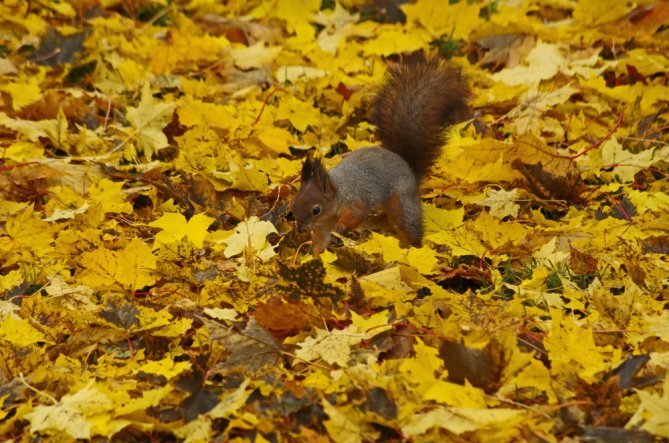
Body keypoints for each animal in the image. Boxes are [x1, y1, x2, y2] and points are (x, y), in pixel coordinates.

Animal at [292, 54, 470, 258]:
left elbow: (357, 215)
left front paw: (341, 227)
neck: (338, 191)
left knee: (410, 227)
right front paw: (313, 257)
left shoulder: (356, 201)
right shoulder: (323, 225)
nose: (300, 228)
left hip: (402, 201)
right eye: (293, 203)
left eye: (316, 210)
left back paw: (411, 249)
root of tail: (407, 166)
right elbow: (321, 241)